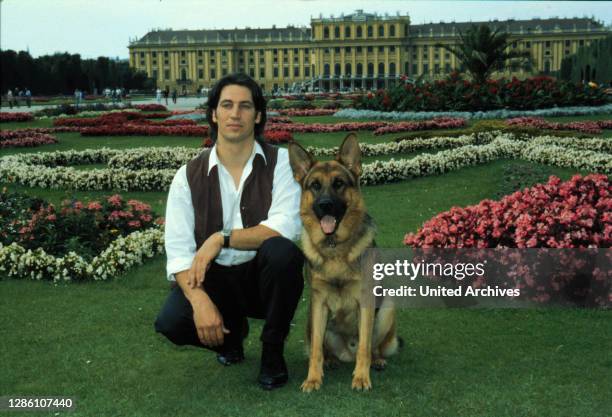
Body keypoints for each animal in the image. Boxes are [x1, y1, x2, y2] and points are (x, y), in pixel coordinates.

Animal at [288, 133, 400, 390]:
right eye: (315, 185)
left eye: (339, 183)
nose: (325, 205)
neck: (335, 247)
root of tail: (346, 352)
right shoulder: (319, 303)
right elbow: (316, 350)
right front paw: (313, 378)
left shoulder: (366, 301)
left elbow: (364, 347)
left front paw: (361, 377)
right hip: (313, 319)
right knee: (321, 346)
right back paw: (330, 360)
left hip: (387, 308)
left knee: (371, 346)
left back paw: (376, 360)